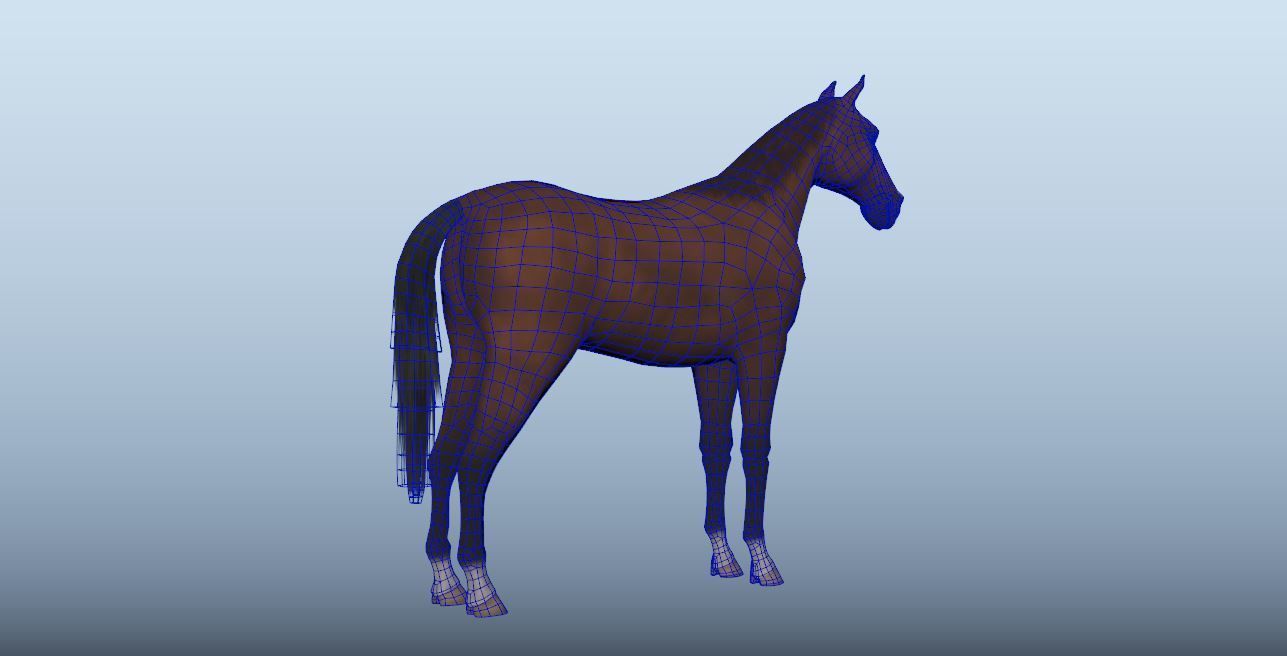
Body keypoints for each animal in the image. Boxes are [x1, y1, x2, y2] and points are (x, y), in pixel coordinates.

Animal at [391, 76, 903, 617]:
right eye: (868, 133)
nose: (891, 206)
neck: (757, 212)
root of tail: (468, 207)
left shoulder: (714, 363)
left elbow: (715, 449)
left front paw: (724, 557)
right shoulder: (763, 350)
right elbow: (756, 449)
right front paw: (763, 563)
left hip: (473, 357)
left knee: (443, 457)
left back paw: (445, 583)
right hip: (523, 362)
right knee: (474, 462)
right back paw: (482, 590)